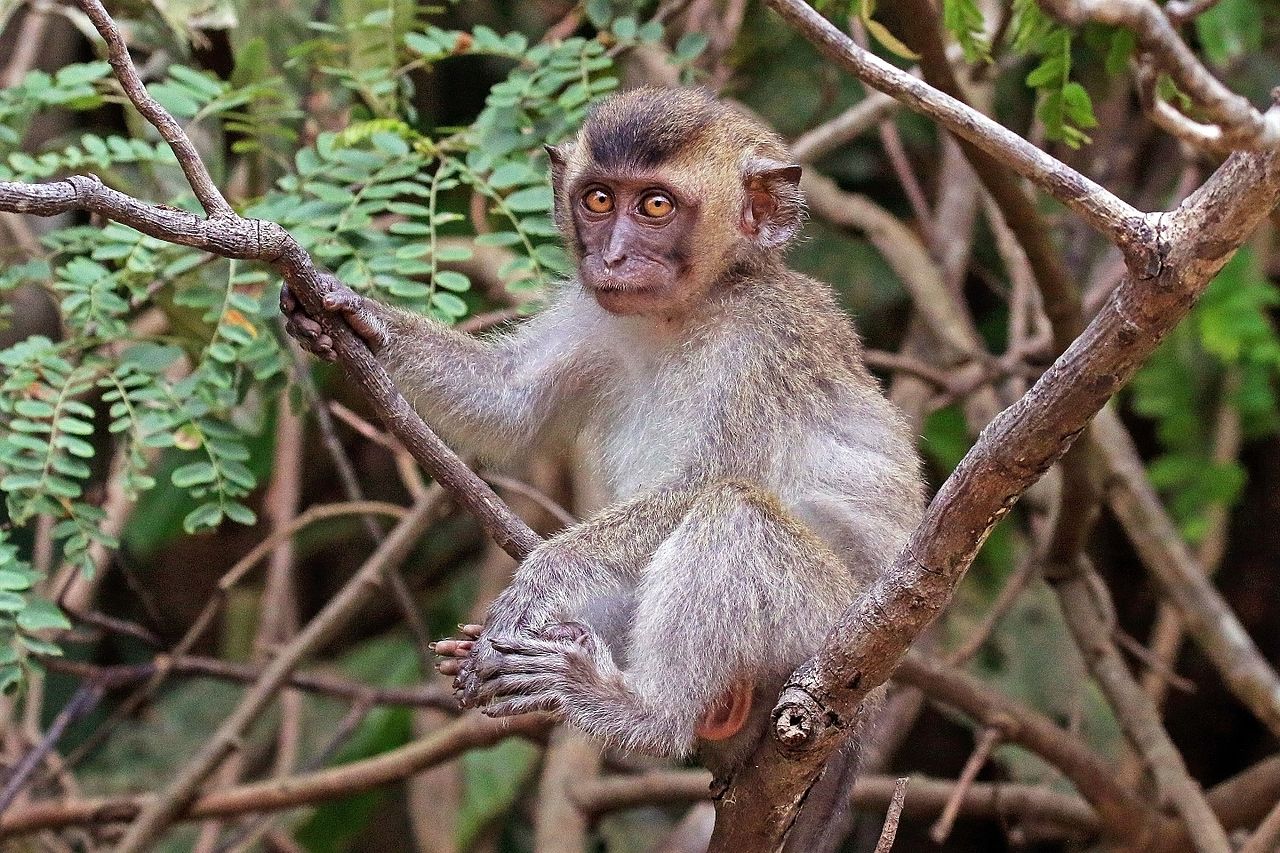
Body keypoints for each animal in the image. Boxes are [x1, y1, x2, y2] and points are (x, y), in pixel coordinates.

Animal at [282, 84, 921, 845]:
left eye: (655, 206)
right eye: (597, 200)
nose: (611, 258)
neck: (685, 311)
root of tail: (867, 704)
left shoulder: (764, 344)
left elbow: (699, 483)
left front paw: (536, 578)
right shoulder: (594, 314)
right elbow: (509, 401)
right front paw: (350, 313)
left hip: (819, 631)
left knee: (733, 516)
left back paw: (644, 713)